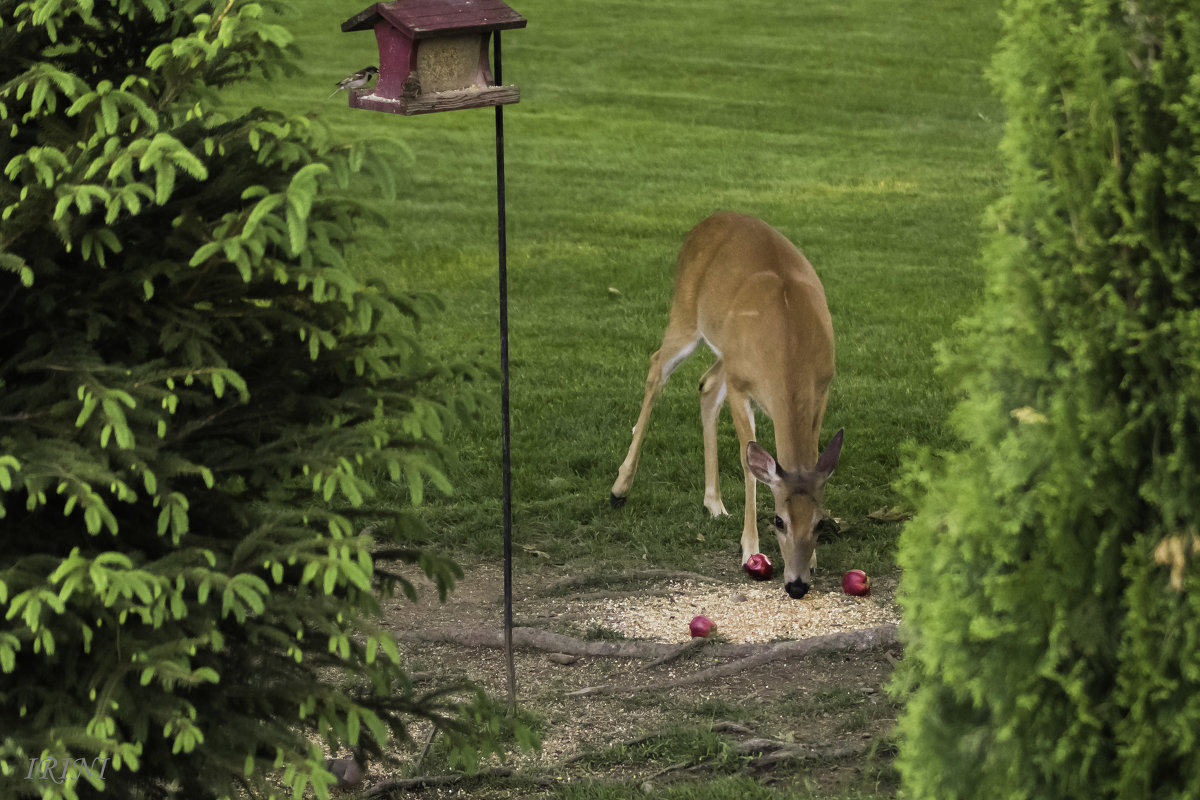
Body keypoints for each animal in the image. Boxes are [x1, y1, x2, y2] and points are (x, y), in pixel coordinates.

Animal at [614, 209, 840, 597]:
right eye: (778, 520)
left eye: (821, 523)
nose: (797, 586)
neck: (790, 346)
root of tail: (708, 220)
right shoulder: (740, 385)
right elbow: (748, 463)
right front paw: (750, 548)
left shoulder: (821, 387)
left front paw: (812, 560)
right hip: (686, 314)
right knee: (657, 366)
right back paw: (620, 489)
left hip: (726, 348)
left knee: (705, 384)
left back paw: (714, 504)